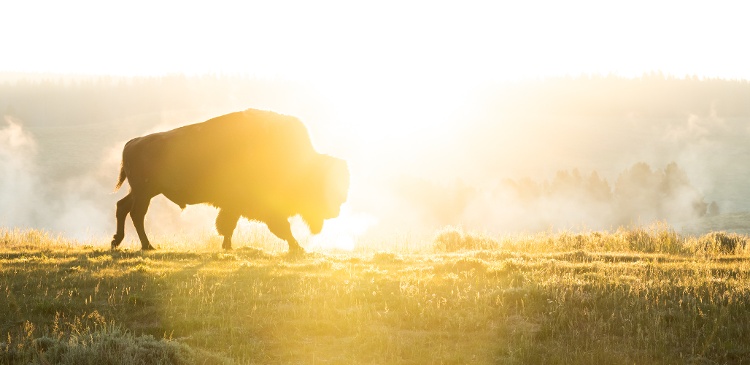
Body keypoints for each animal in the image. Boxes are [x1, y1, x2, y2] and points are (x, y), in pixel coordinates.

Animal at [110, 107, 352, 253]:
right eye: (318, 187)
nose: (335, 211)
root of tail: (132, 143)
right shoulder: (257, 205)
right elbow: (279, 227)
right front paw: (298, 248)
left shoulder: (234, 205)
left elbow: (229, 225)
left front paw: (227, 247)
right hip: (145, 192)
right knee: (136, 213)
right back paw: (147, 246)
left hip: (143, 191)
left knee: (123, 207)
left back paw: (117, 242)